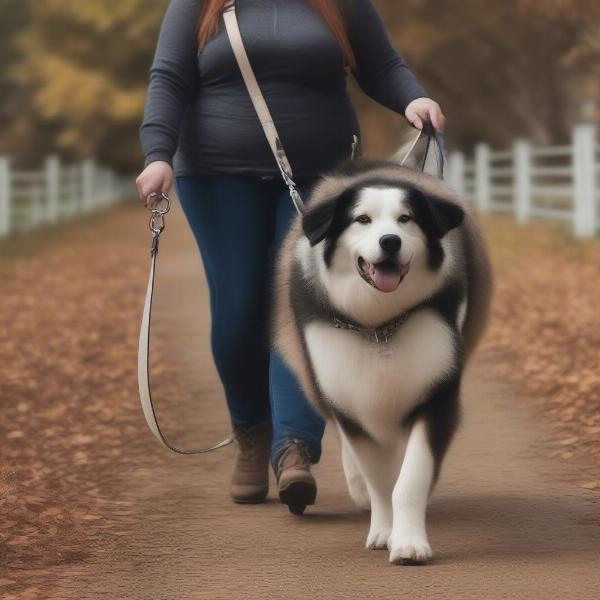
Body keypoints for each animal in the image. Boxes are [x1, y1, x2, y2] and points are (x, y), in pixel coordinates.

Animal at [272, 138, 492, 564]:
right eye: (362, 220)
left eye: (406, 219)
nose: (389, 242)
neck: (379, 325)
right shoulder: (346, 388)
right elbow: (377, 477)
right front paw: (384, 530)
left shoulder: (436, 391)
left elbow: (410, 478)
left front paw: (408, 543)